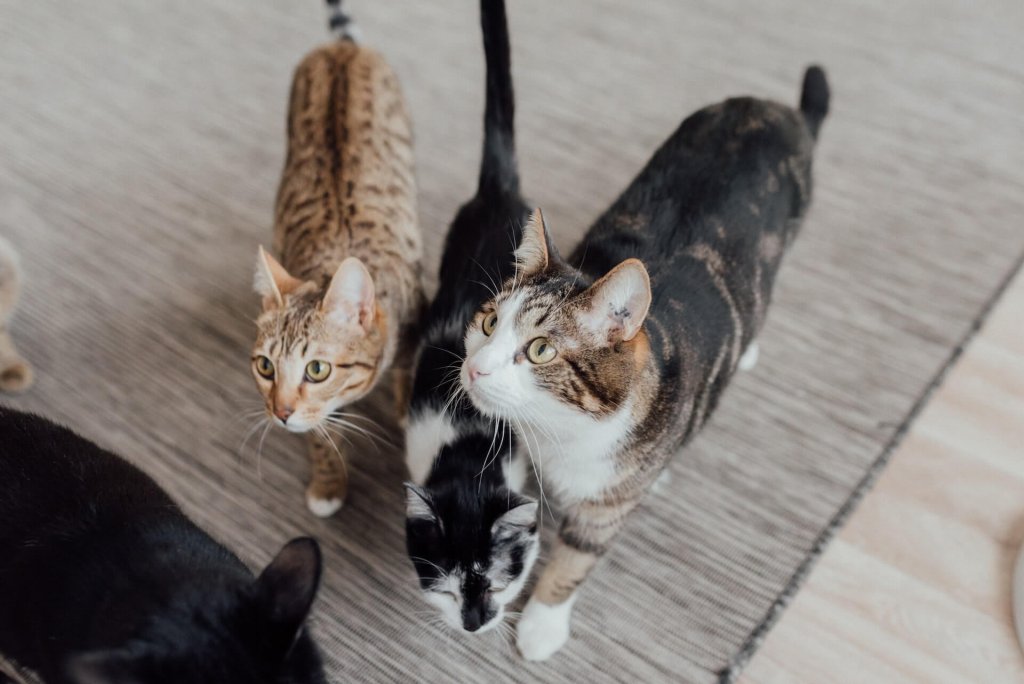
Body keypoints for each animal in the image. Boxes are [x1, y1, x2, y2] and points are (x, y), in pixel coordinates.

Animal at [251, 1, 423, 518]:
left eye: (317, 369)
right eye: (264, 367)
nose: (280, 413)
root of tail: (341, 49)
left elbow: (409, 366)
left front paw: (405, 404)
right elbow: (321, 435)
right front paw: (329, 481)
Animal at [460, 68, 827, 655]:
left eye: (540, 349)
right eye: (490, 322)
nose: (475, 368)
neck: (563, 433)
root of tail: (774, 108)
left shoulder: (609, 504)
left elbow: (578, 557)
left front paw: (542, 623)